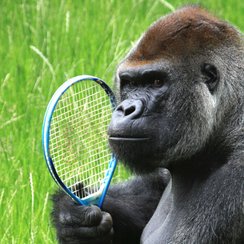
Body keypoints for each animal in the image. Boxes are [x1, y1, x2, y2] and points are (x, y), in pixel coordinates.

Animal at [52, 5, 244, 244]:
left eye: (156, 82)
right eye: (130, 83)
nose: (126, 109)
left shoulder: (234, 183)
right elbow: (154, 186)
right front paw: (70, 217)